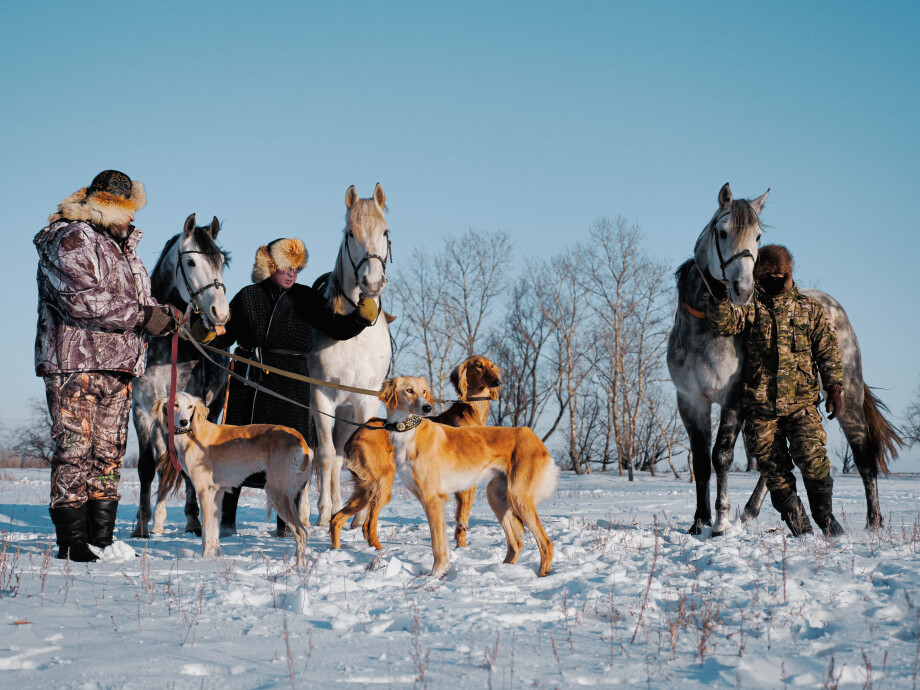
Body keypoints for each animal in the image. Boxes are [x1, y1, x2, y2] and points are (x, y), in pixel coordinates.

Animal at [156, 390, 314, 560]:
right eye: (175, 404)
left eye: (190, 406)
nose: (184, 422)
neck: (193, 434)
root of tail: (300, 439)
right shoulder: (217, 492)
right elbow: (213, 534)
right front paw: (210, 558)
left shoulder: (204, 490)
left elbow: (206, 534)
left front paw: (204, 559)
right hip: (288, 495)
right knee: (304, 532)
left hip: (275, 492)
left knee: (300, 532)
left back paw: (298, 564)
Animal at [330, 354, 504, 548]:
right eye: (479, 366)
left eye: (492, 366)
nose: (497, 381)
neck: (472, 414)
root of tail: (358, 432)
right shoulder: (466, 484)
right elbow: (462, 518)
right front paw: (462, 547)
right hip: (382, 481)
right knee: (367, 525)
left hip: (366, 487)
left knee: (336, 519)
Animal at [378, 376, 556, 576]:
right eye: (409, 390)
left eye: (423, 391)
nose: (427, 408)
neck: (408, 433)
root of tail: (533, 437)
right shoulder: (429, 499)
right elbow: (442, 541)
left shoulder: (432, 499)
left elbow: (437, 544)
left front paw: (436, 573)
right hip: (496, 496)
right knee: (516, 544)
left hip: (518, 497)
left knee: (546, 543)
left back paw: (541, 575)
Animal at [664, 184, 904, 536]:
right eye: (722, 232)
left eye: (758, 236)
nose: (742, 289)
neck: (703, 331)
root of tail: (833, 307)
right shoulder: (690, 400)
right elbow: (700, 462)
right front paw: (699, 522)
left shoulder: (733, 398)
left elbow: (720, 456)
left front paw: (720, 524)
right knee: (774, 464)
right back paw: (753, 513)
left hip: (848, 399)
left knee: (862, 457)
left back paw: (872, 523)